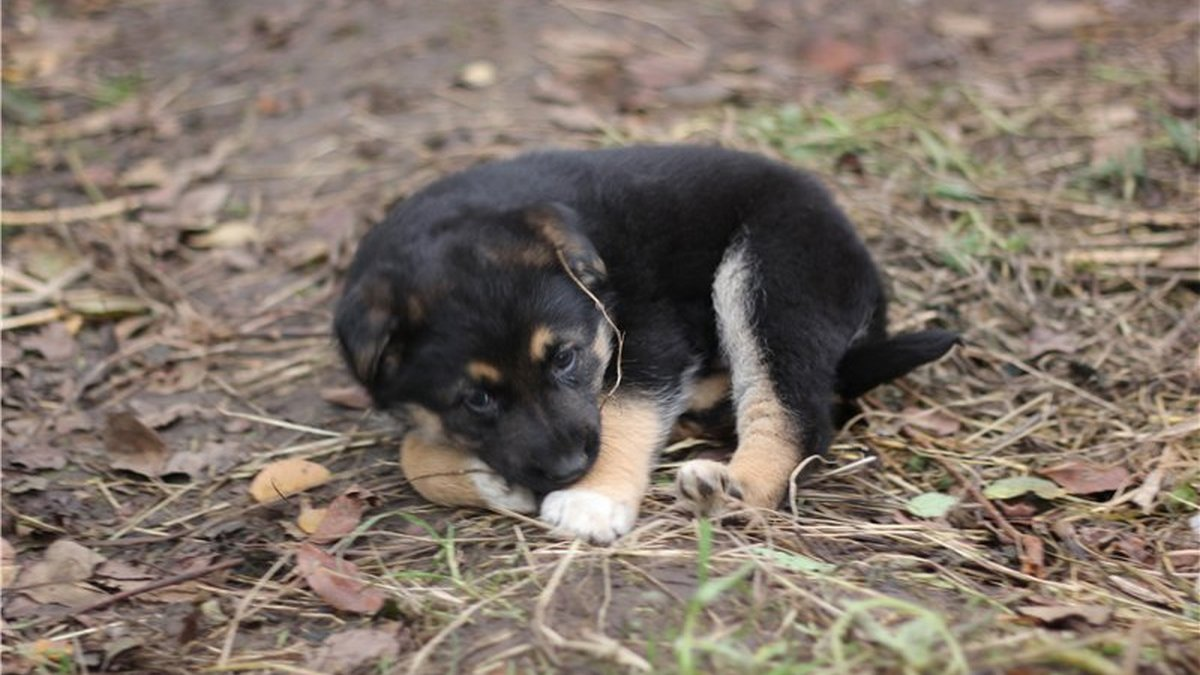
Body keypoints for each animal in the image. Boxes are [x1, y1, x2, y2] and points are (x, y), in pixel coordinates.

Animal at [334, 145, 958, 543]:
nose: (569, 468)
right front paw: (485, 481)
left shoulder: (650, 329)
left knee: (797, 416)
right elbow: (411, 454)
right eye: (477, 400)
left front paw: (592, 496)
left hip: (773, 271)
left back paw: (731, 487)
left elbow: (624, 412)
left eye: (565, 359)